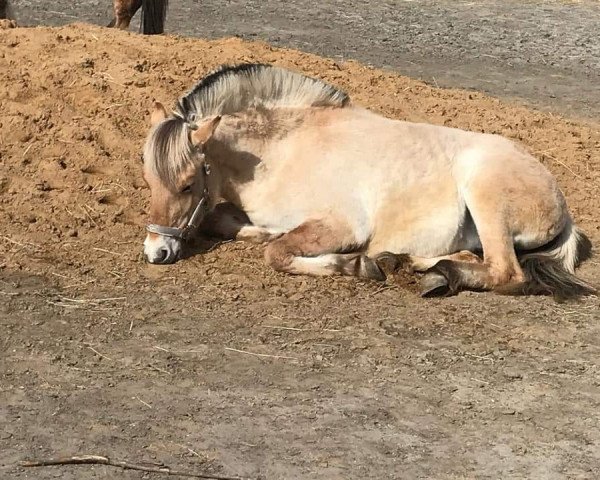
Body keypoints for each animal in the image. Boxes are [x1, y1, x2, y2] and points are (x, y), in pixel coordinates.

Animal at [142, 62, 596, 296]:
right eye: (149, 181)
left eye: (187, 183)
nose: (155, 252)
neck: (286, 150)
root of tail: (561, 204)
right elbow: (224, 221)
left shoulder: (342, 226)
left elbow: (277, 254)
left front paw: (357, 265)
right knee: (473, 257)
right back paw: (416, 264)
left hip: (484, 193)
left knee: (507, 273)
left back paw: (430, 274)